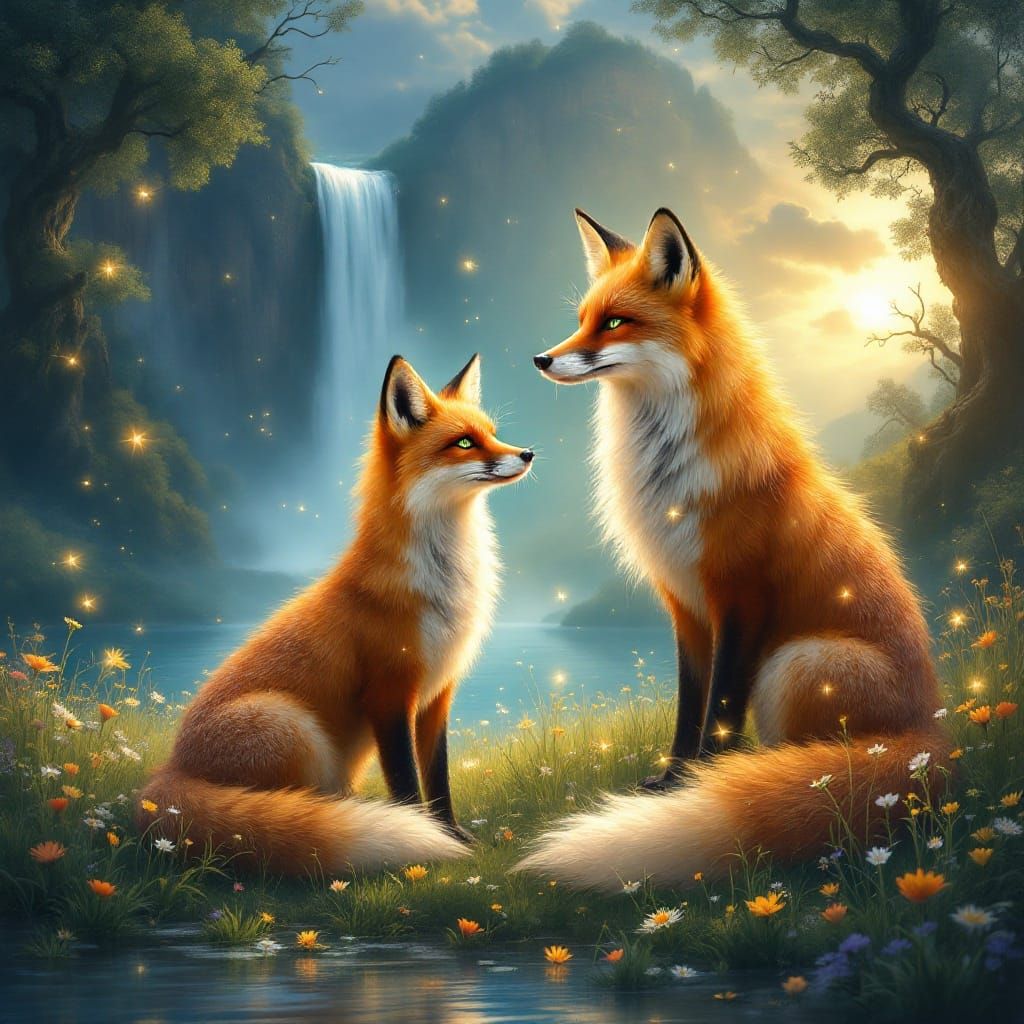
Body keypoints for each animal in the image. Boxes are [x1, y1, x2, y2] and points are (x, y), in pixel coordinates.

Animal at [139, 354, 534, 873]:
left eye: (492, 433)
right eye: (464, 443)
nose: (528, 453)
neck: (443, 584)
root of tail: (171, 769)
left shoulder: (437, 695)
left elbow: (439, 781)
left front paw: (453, 836)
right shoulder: (389, 693)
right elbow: (407, 785)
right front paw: (424, 842)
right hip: (293, 728)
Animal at [520, 207, 945, 889]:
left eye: (615, 322)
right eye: (583, 318)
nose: (540, 358)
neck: (668, 478)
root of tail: (933, 733)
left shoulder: (740, 597)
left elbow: (719, 709)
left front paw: (705, 786)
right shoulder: (685, 605)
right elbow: (690, 706)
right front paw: (673, 782)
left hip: (795, 664)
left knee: (819, 766)